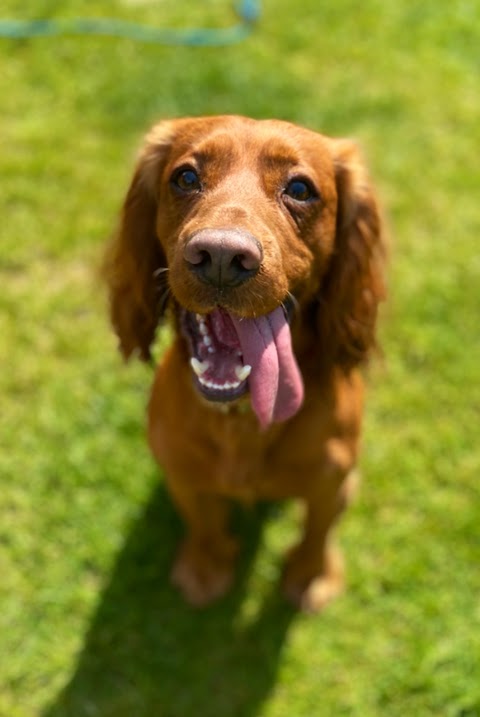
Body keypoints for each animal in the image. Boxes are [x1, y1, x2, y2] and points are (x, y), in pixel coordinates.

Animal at [105, 114, 386, 612]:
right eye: (186, 177)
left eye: (300, 188)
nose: (220, 256)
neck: (242, 419)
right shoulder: (180, 469)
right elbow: (202, 521)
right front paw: (205, 567)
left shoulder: (330, 477)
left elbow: (317, 531)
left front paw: (311, 576)